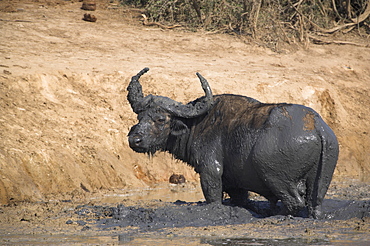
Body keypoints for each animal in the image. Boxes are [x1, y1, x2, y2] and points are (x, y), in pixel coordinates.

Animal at [127, 67, 338, 217]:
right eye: (140, 117)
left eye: (161, 119)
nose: (135, 139)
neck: (196, 123)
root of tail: (318, 127)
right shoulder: (235, 185)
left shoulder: (210, 172)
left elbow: (213, 197)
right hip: (320, 183)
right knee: (313, 203)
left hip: (275, 177)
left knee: (294, 202)